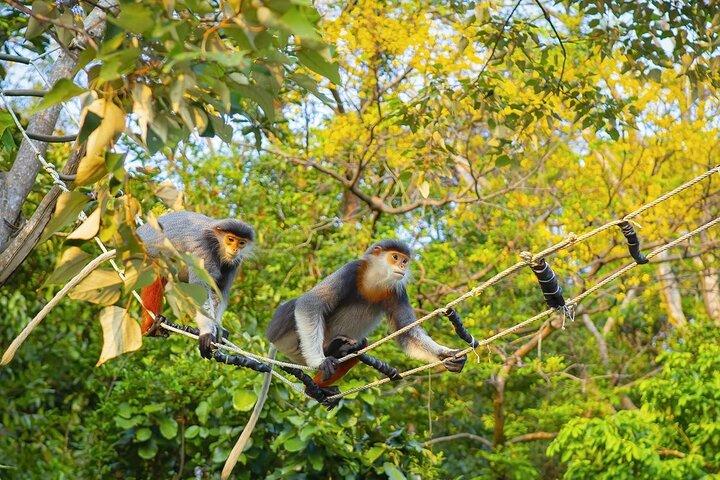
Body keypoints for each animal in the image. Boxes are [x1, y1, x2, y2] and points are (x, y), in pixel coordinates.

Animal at [136, 211, 255, 359]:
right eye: (230, 239)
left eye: (241, 242)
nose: (235, 249)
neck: (216, 243)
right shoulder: (203, 250)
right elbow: (200, 288)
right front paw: (207, 333)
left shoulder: (234, 263)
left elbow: (218, 292)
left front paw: (217, 330)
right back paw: (152, 326)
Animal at [266, 239, 467, 387]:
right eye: (395, 257)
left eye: (404, 261)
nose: (402, 267)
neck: (374, 281)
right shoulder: (352, 269)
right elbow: (310, 303)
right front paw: (319, 361)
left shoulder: (397, 291)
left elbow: (407, 333)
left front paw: (446, 355)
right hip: (288, 341)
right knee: (294, 305)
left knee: (359, 345)